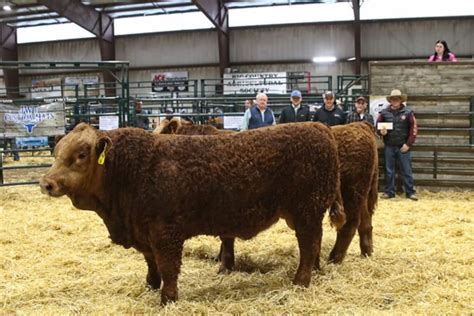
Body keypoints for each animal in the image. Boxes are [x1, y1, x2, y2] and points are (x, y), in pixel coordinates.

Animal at [40, 121, 342, 304]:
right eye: (56, 152)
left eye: (81, 154)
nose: (47, 183)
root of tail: (319, 127)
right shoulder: (143, 229)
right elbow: (151, 262)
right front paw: (150, 285)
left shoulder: (166, 232)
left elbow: (168, 266)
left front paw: (168, 298)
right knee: (313, 245)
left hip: (307, 210)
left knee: (309, 245)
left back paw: (301, 281)